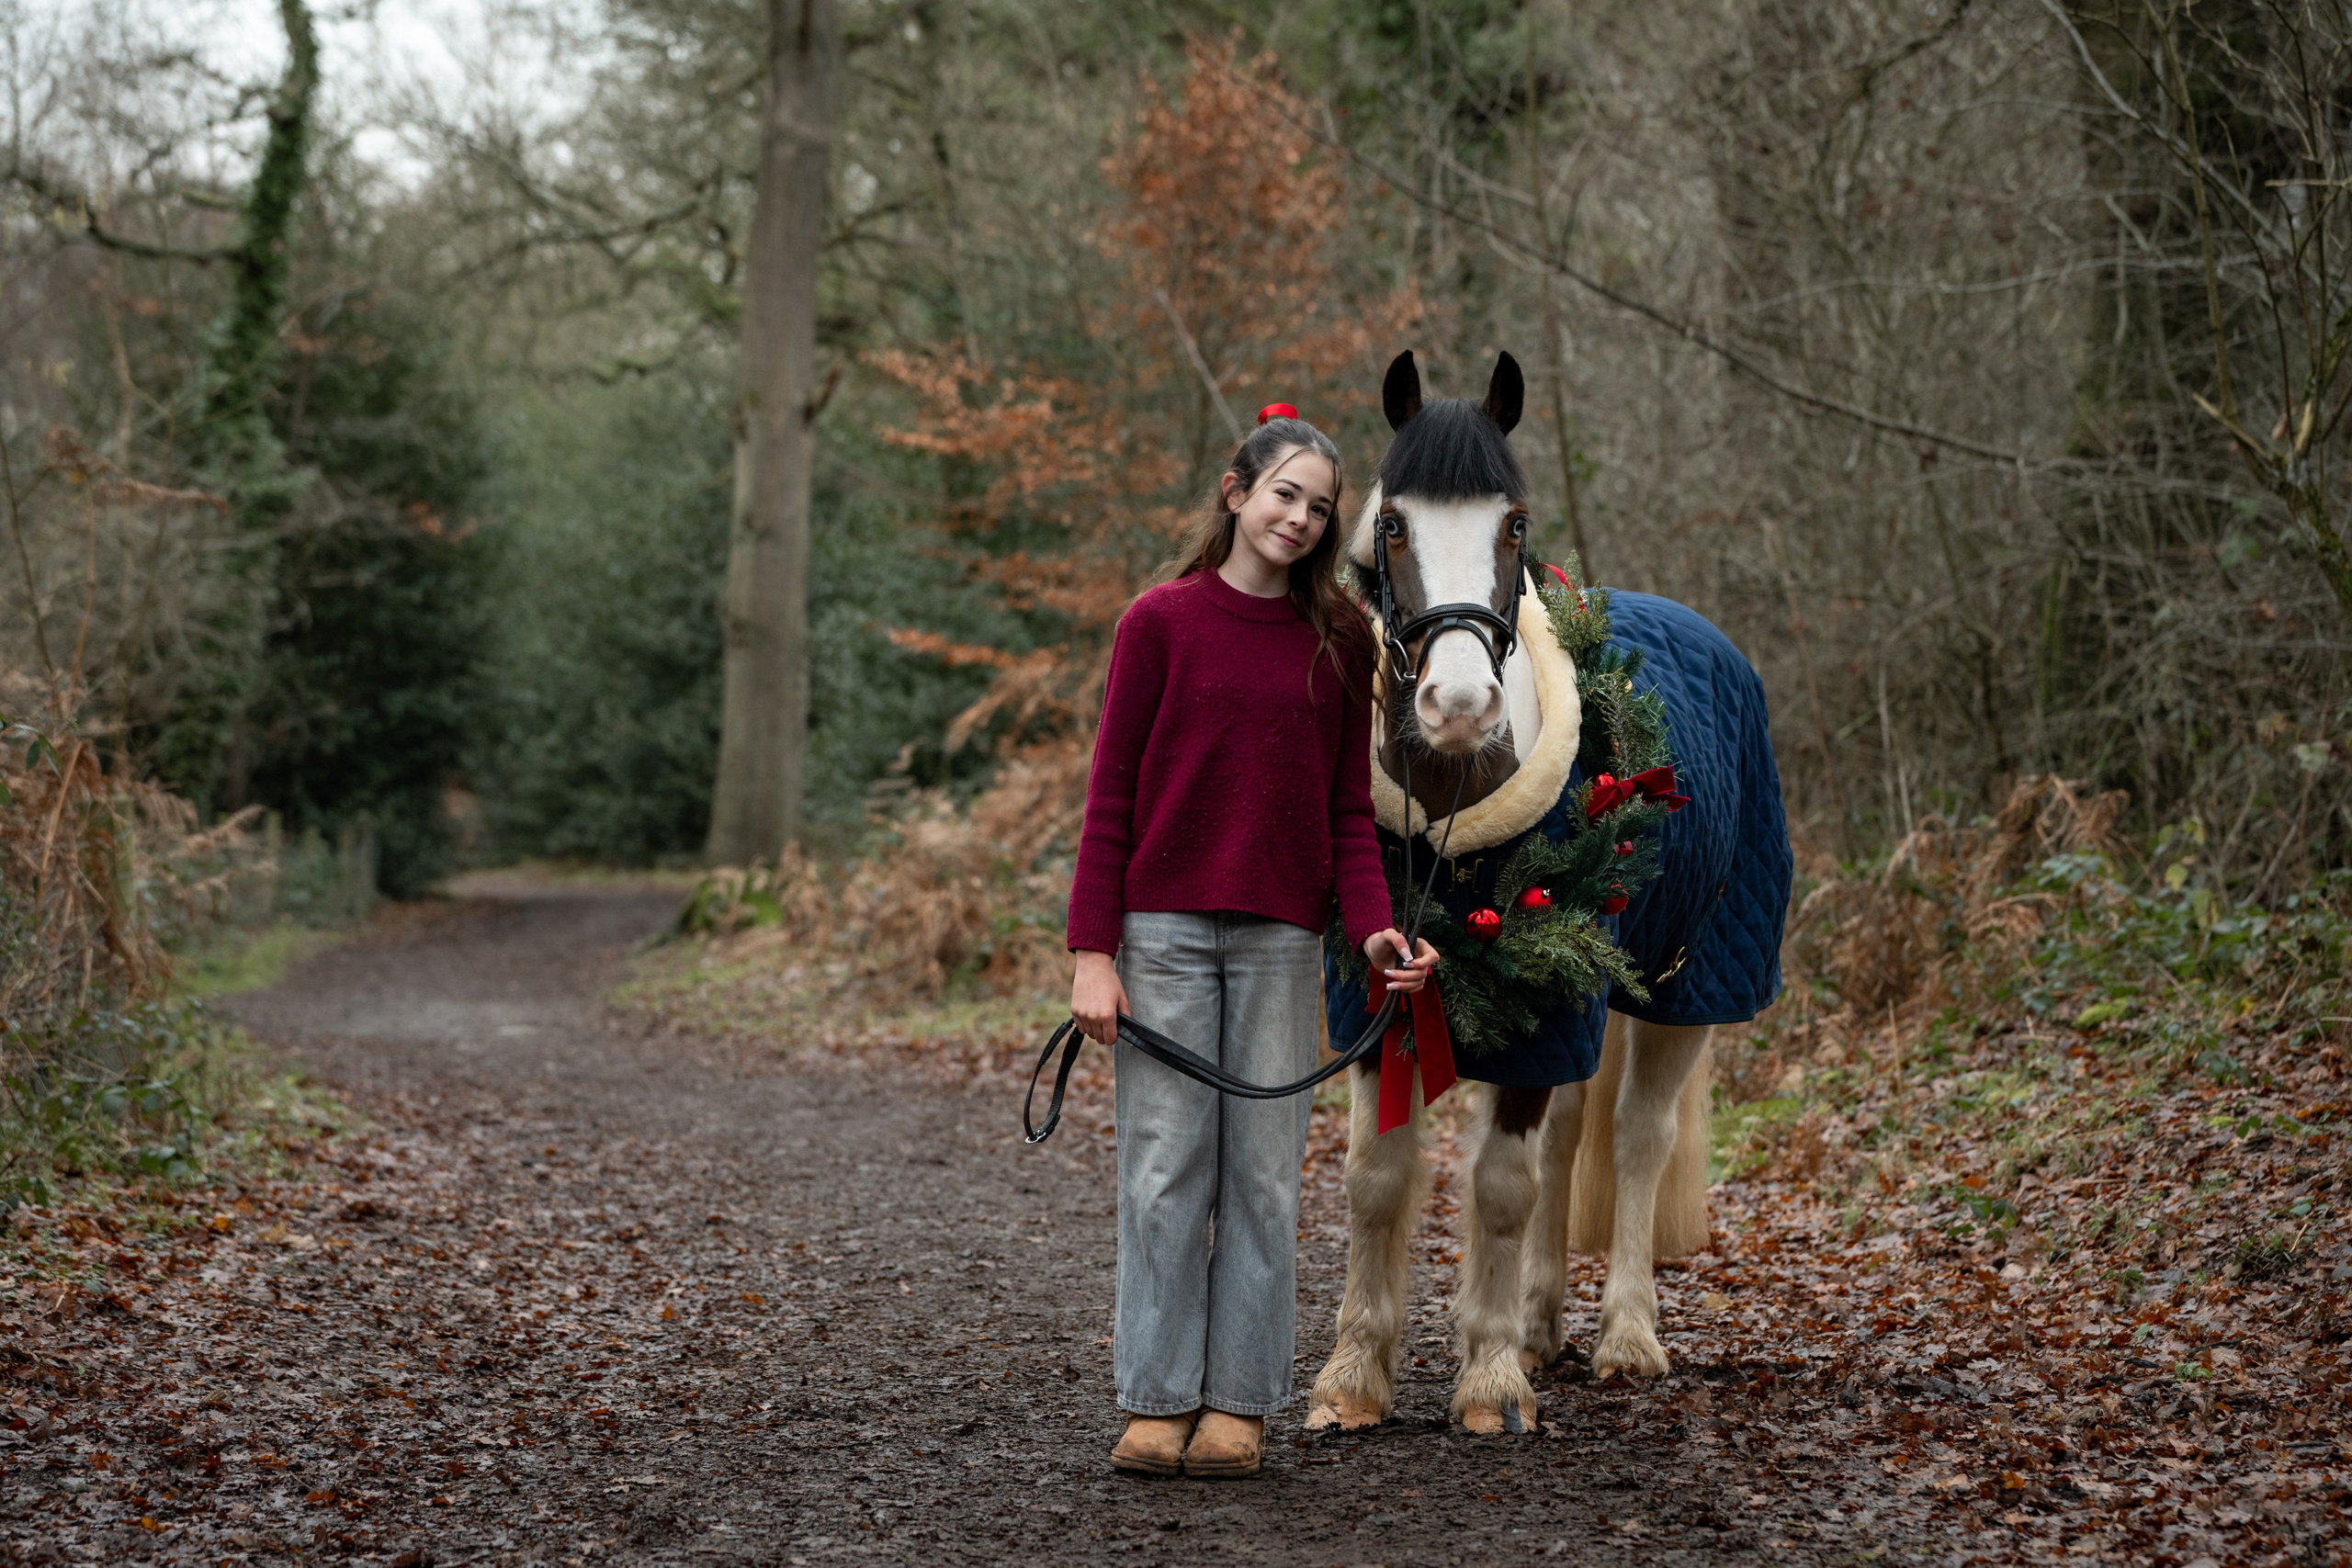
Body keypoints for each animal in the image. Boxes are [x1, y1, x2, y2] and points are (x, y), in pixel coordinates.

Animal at [1306, 350, 1793, 1436]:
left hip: (1677, 990)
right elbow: (1375, 1180)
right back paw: (1538, 1322)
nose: (1458, 705)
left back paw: (1624, 1336)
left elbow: (1497, 1184)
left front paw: (1488, 1381)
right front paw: (1355, 1376)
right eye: (1391, 523)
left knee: (1635, 1140)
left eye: (1515, 524)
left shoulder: (1545, 1012)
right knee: (1570, 1139)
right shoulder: (1381, 999)